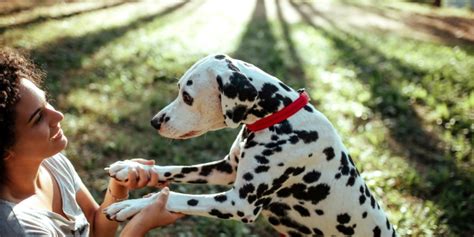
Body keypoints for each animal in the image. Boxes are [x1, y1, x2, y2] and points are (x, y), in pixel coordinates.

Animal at [104, 54, 396, 237]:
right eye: (179, 89)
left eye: (187, 96)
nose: (154, 122)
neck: (279, 118)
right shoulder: (225, 169)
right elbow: (173, 169)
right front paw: (131, 168)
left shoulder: (240, 203)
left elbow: (174, 196)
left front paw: (133, 206)